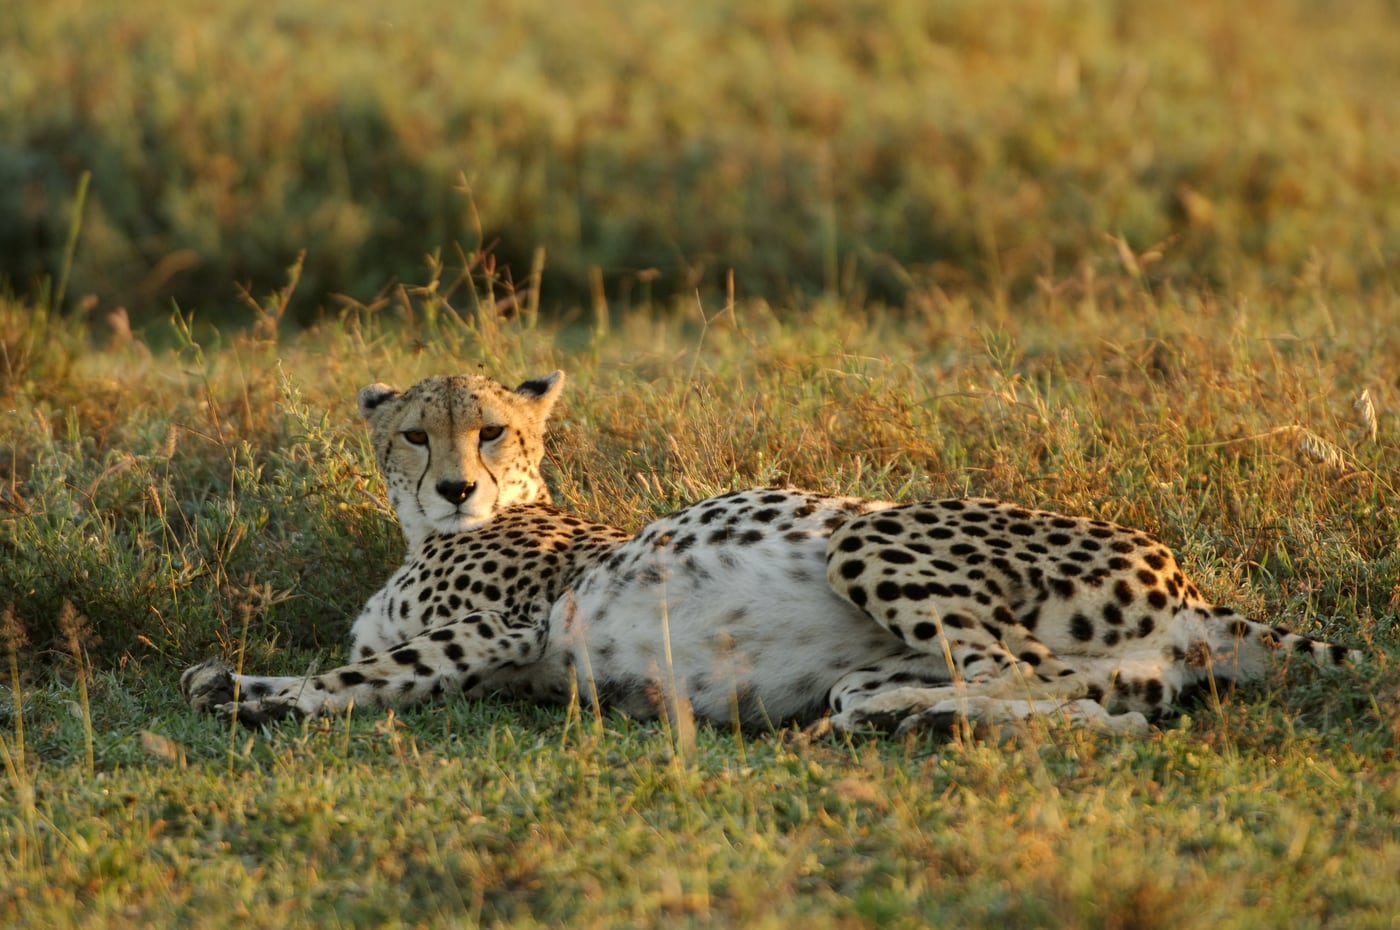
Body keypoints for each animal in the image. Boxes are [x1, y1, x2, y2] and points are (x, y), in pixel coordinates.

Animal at [182, 369, 1361, 736]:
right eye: (418, 434)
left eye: (495, 433)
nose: (457, 487)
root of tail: (1194, 585)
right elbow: (373, 665)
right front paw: (237, 682)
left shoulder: (503, 630)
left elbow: (365, 672)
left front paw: (261, 692)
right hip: (1089, 670)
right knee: (1105, 717)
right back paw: (903, 717)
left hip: (867, 531)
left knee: (1041, 684)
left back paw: (919, 718)